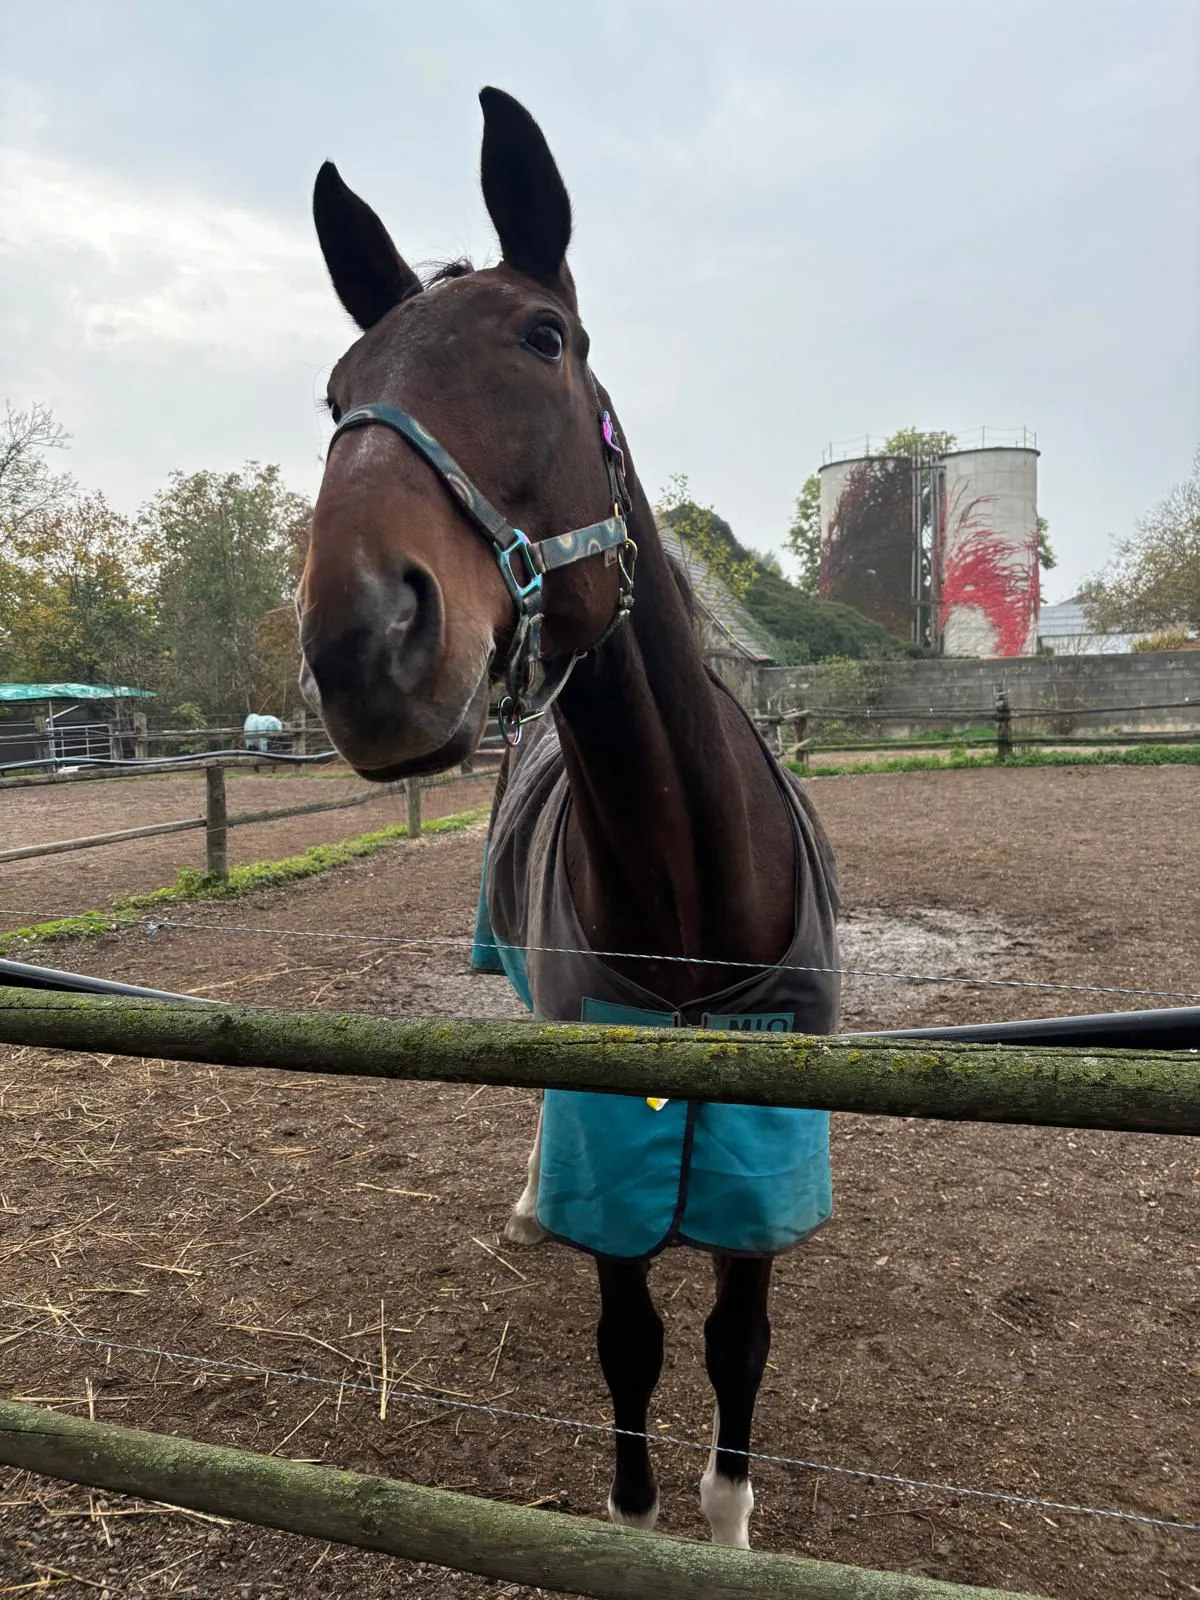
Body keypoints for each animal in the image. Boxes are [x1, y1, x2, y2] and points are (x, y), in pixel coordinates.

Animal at [299, 86, 841, 1549]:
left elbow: (738, 1347)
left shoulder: (766, 1154)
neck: (694, 899)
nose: (361, 639)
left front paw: (728, 1526)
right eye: (338, 393)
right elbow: (630, 1344)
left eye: (543, 337)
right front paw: (636, 1515)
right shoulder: (607, 1130)